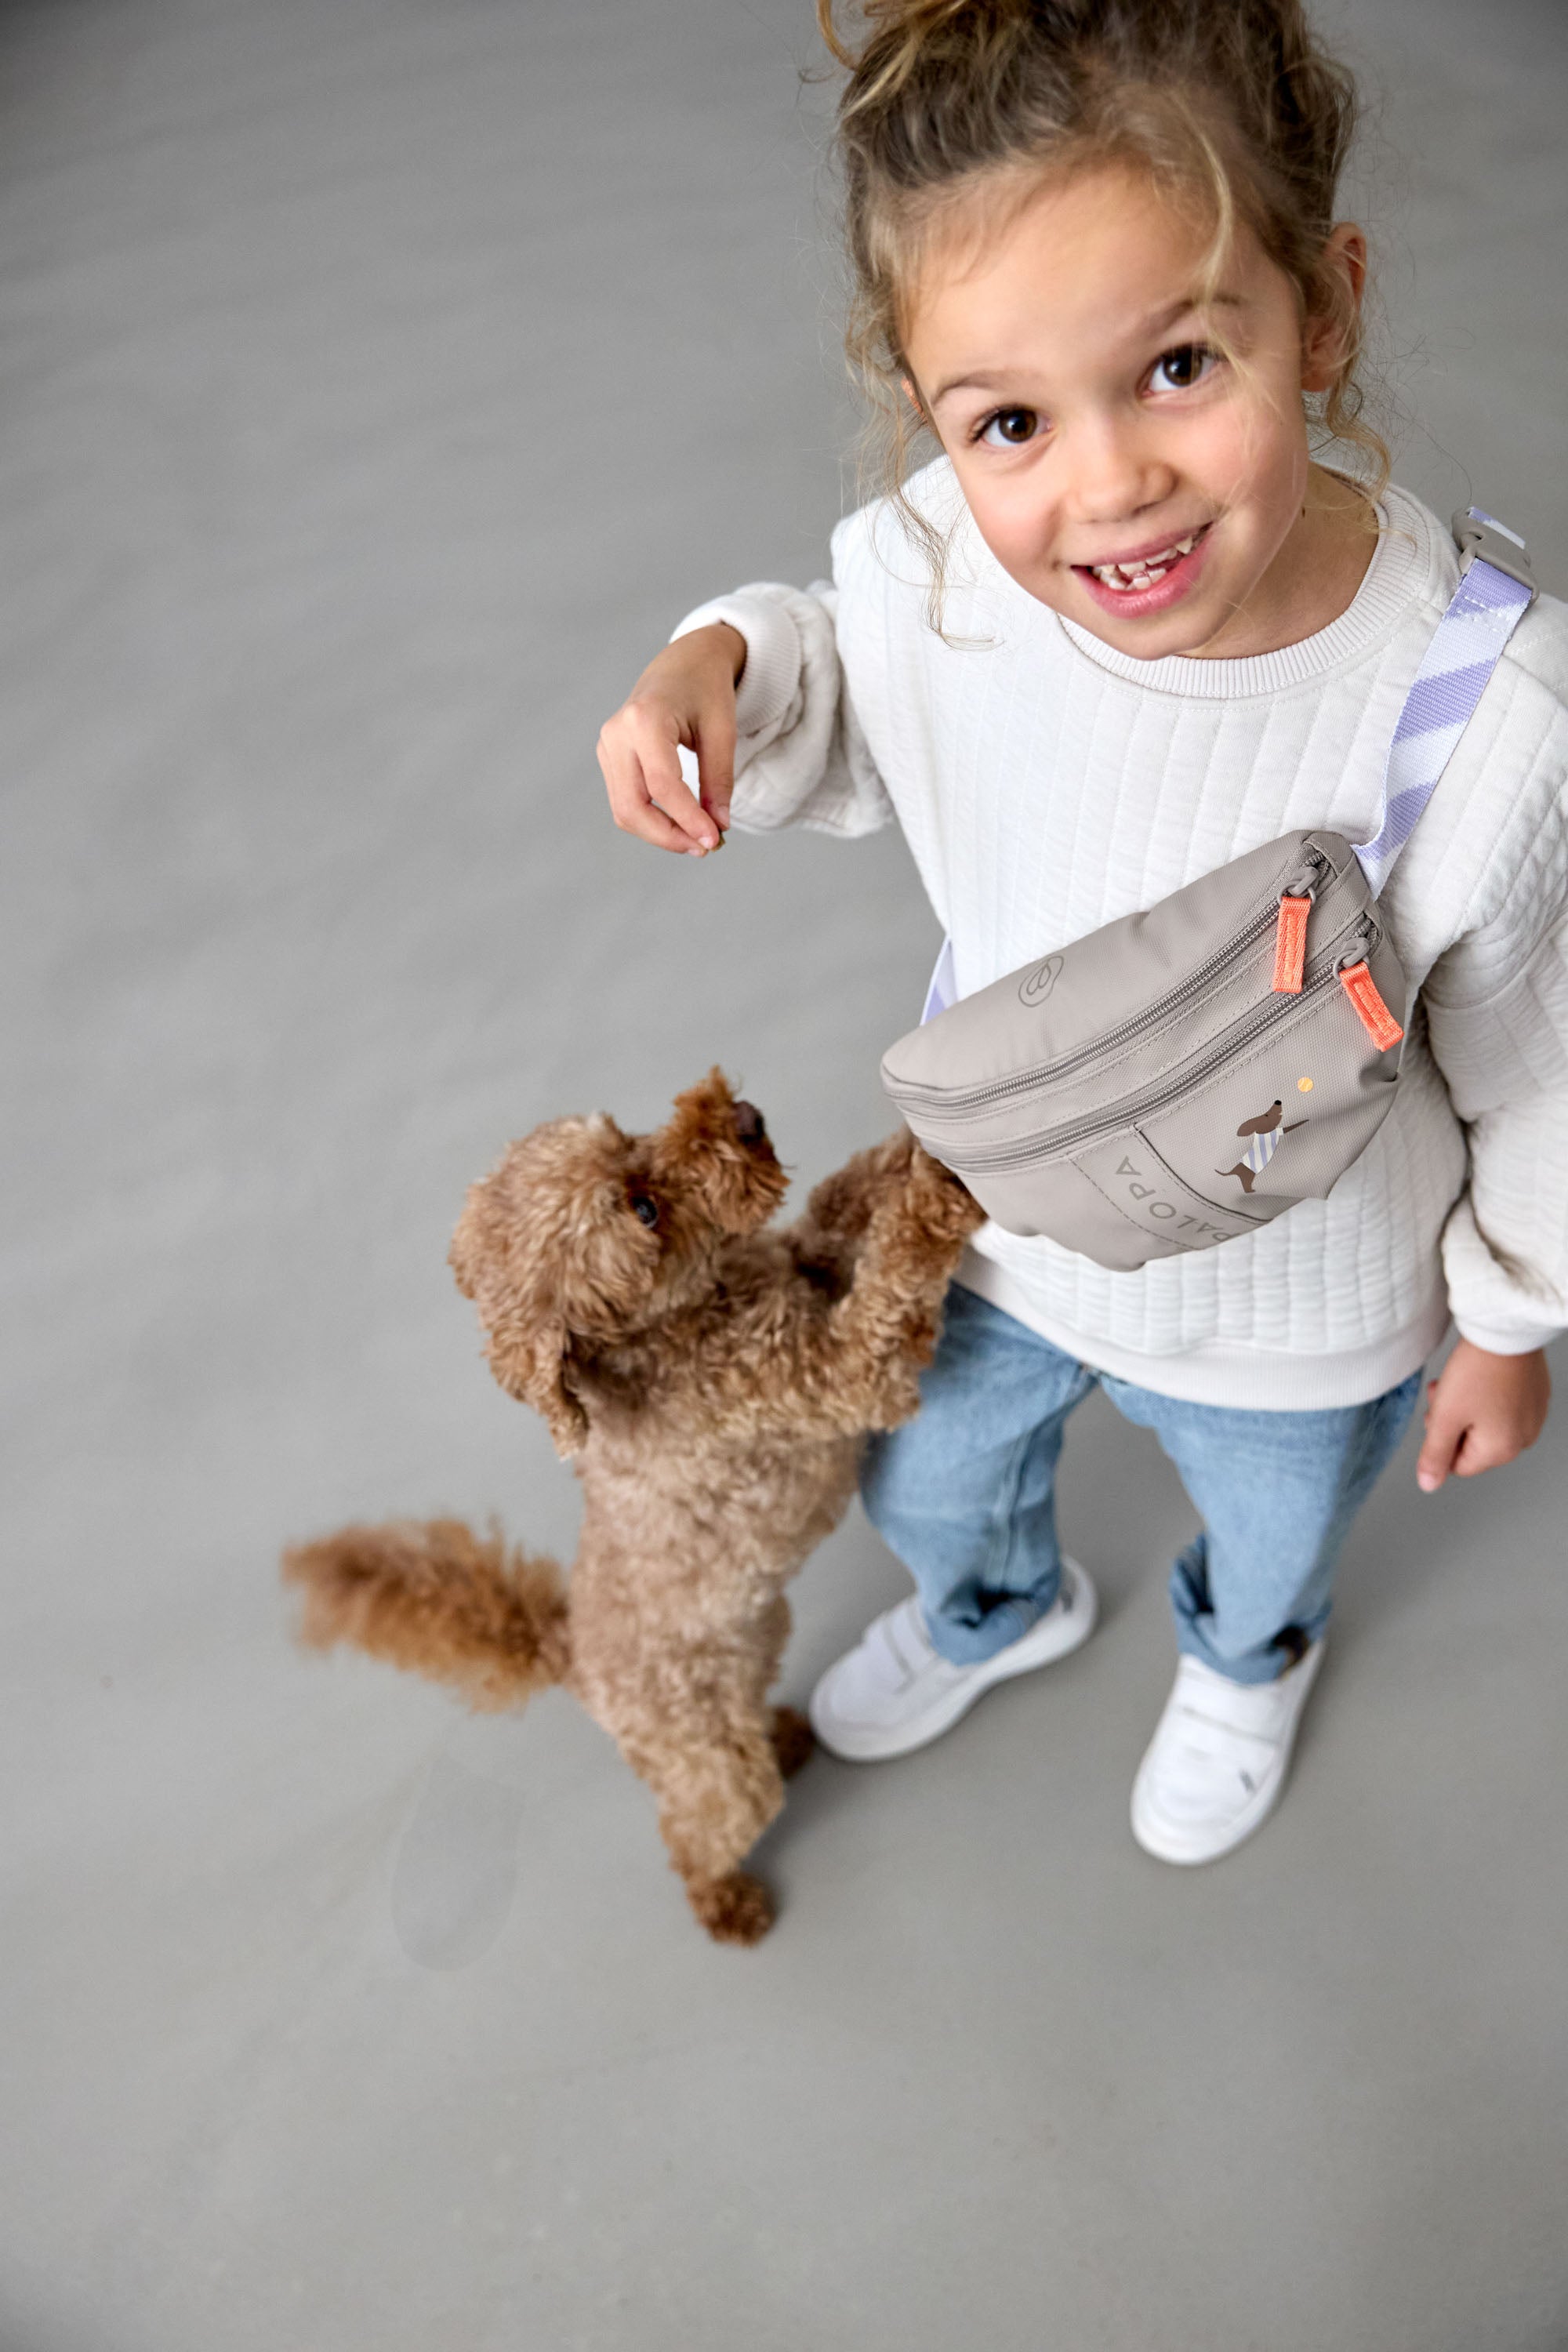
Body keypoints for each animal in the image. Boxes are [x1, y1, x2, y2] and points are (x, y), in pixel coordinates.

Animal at [276, 1073, 973, 1947]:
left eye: (623, 1135)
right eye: (643, 1210)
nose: (743, 1116)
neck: (682, 1323)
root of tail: (567, 1650)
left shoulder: (802, 1259)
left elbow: (839, 1196)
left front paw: (915, 1141)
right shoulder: (842, 1375)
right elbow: (890, 1277)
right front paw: (939, 1193)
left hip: (744, 1662)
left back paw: (781, 1735)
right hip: (707, 1760)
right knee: (695, 1831)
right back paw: (727, 1904)